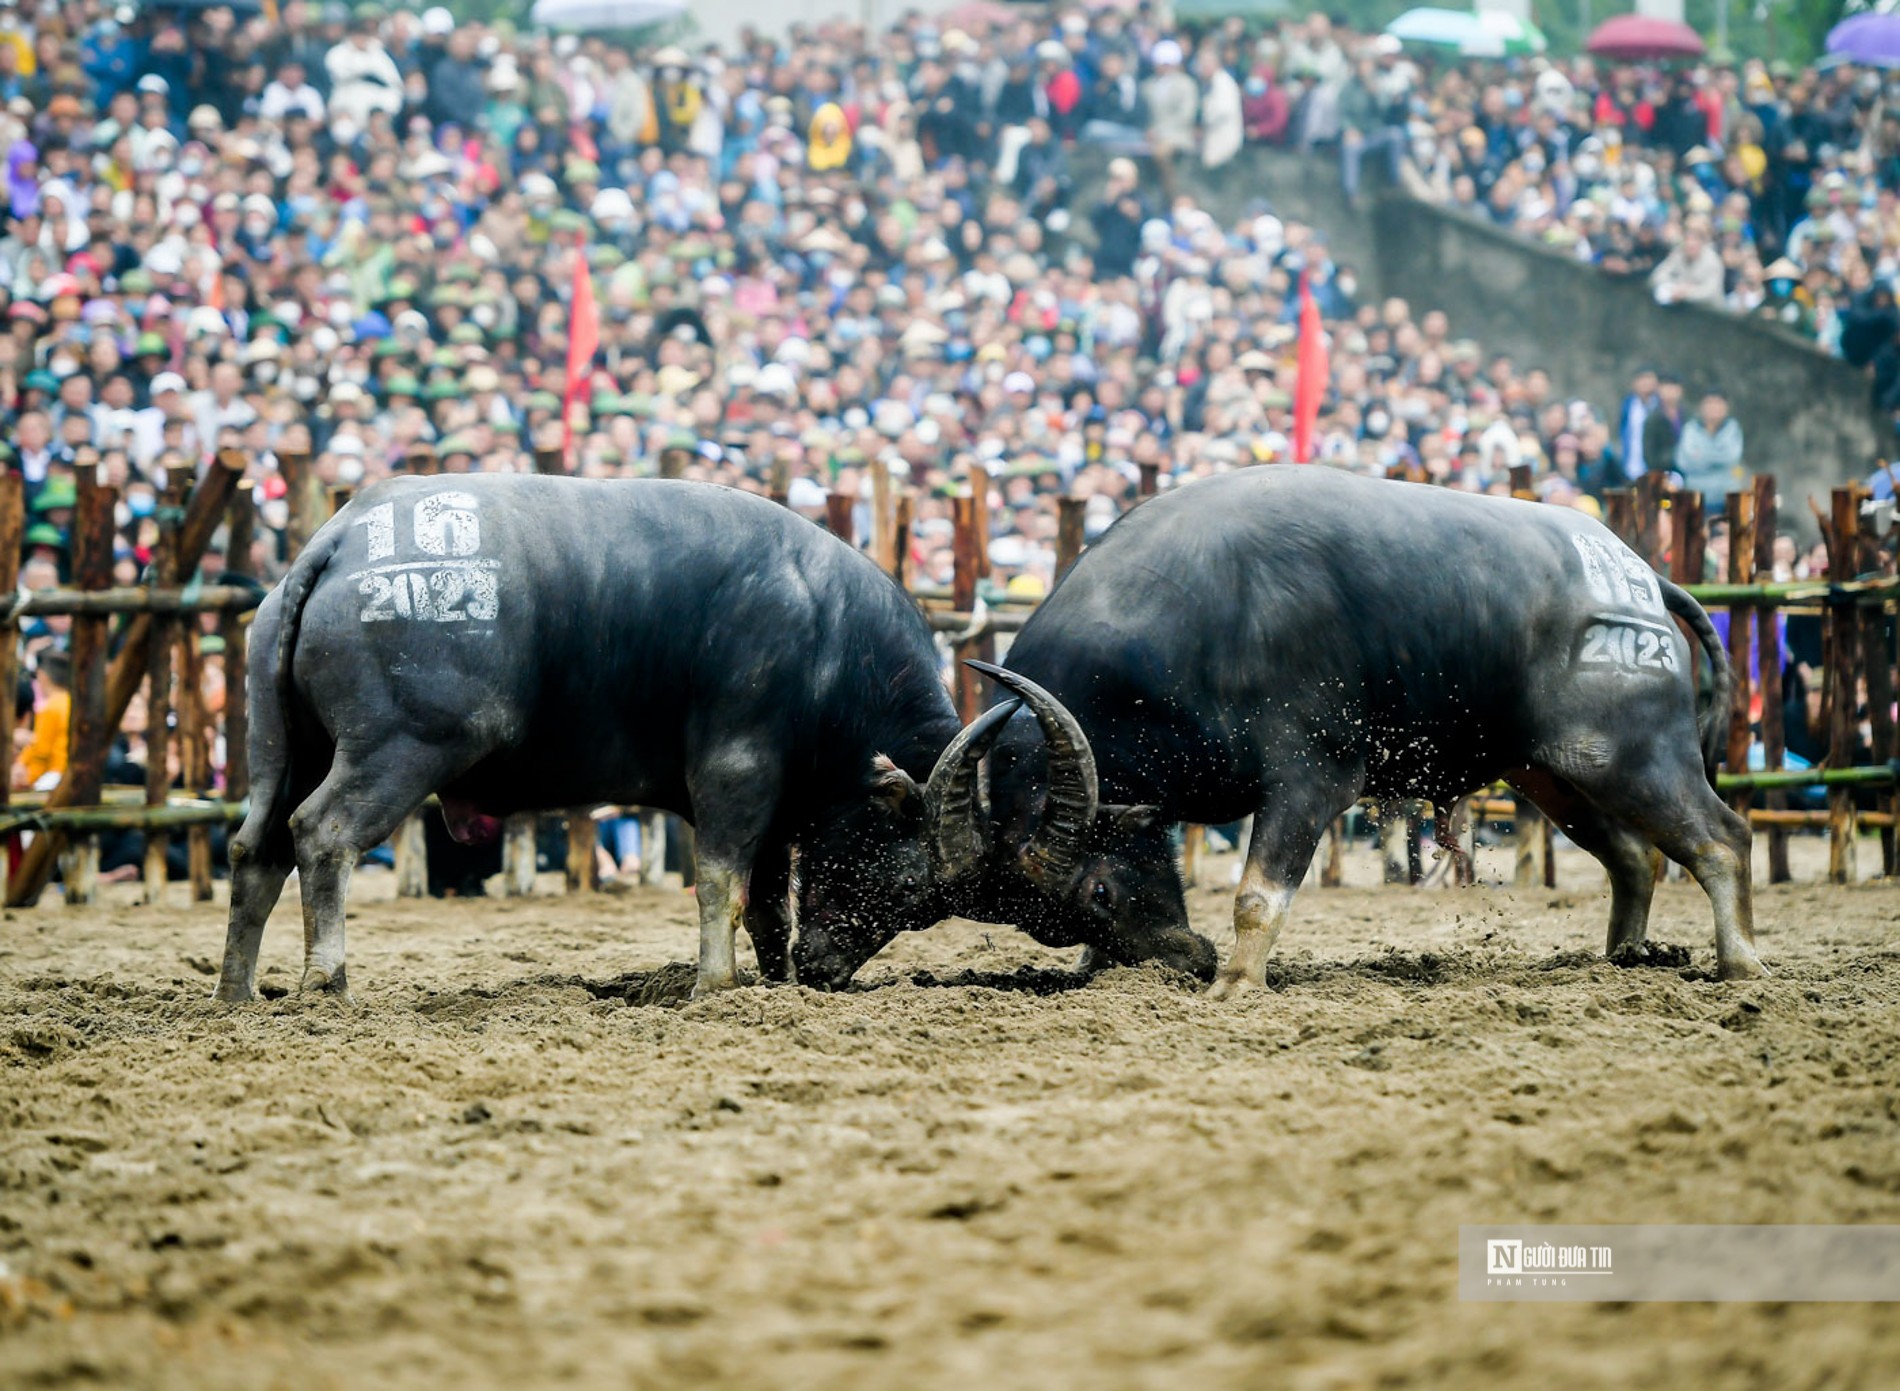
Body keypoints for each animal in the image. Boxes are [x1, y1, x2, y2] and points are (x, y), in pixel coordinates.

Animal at [790, 473, 1763, 995]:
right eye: (1055, 922)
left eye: (1097, 891)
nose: (1186, 963)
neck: (1198, 625)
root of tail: (1636, 575)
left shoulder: (1313, 779)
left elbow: (1259, 893)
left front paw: (1235, 981)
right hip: (1551, 772)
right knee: (1634, 856)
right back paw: (1623, 960)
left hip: (1630, 753)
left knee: (1721, 837)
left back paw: (1741, 963)